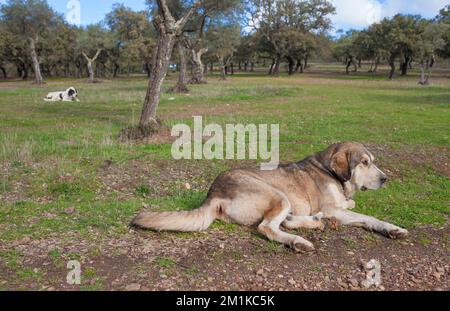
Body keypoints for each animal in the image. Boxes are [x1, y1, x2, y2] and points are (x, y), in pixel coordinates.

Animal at [132, 143, 410, 254]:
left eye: (372, 161)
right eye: (364, 162)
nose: (385, 179)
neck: (331, 171)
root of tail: (214, 193)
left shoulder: (340, 208)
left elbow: (358, 211)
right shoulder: (333, 209)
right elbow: (366, 215)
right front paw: (391, 227)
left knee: (283, 222)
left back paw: (313, 223)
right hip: (279, 195)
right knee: (268, 227)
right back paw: (299, 241)